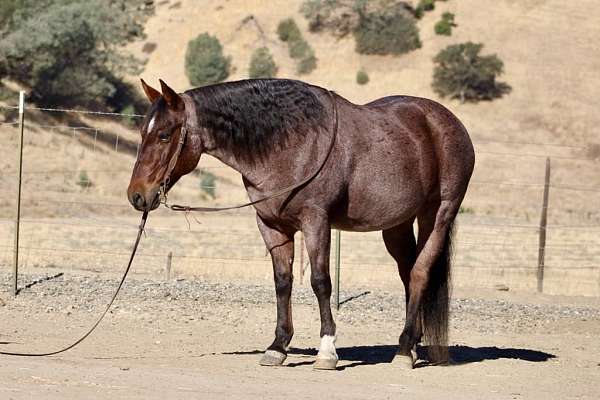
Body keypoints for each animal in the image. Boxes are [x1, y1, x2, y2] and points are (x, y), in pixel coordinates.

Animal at [126, 79, 474, 372]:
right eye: (143, 132)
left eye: (164, 135)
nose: (138, 195)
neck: (291, 145)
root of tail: (447, 121)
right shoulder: (271, 225)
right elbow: (283, 281)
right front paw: (277, 347)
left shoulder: (315, 221)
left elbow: (321, 282)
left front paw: (327, 351)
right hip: (397, 225)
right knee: (407, 275)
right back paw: (411, 345)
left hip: (437, 214)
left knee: (419, 274)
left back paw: (403, 351)